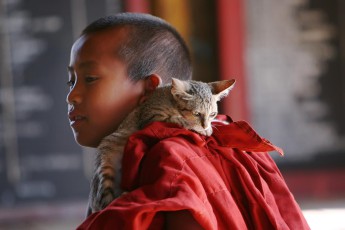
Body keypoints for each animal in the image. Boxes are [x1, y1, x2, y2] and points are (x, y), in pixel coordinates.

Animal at [87, 77, 235, 214]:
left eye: (213, 113)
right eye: (196, 113)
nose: (205, 125)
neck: (169, 100)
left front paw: (216, 124)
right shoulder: (151, 117)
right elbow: (177, 120)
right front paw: (201, 128)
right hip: (105, 166)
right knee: (103, 203)